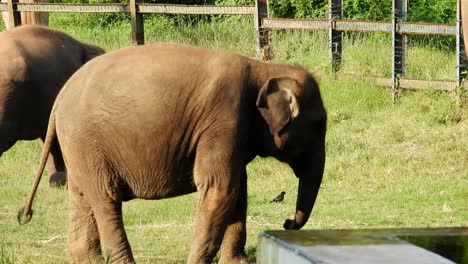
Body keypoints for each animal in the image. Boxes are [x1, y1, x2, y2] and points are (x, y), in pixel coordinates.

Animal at [18, 42, 326, 262]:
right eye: (319, 124)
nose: (287, 222)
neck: (263, 69)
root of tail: (59, 99)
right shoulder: (224, 118)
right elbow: (220, 188)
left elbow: (239, 190)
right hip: (88, 143)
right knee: (105, 199)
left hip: (79, 147)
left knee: (82, 198)